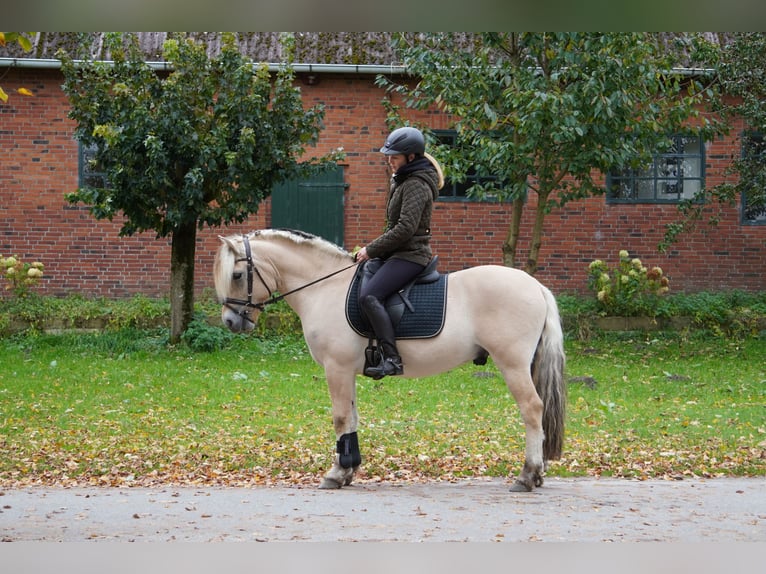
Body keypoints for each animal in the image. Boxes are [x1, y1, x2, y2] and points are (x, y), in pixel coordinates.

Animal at [213, 227, 568, 492]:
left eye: (237, 274)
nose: (230, 321)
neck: (326, 287)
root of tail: (535, 286)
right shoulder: (347, 371)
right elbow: (352, 419)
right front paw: (348, 471)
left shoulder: (336, 368)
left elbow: (340, 418)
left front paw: (335, 474)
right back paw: (536, 475)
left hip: (512, 365)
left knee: (532, 409)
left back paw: (527, 475)